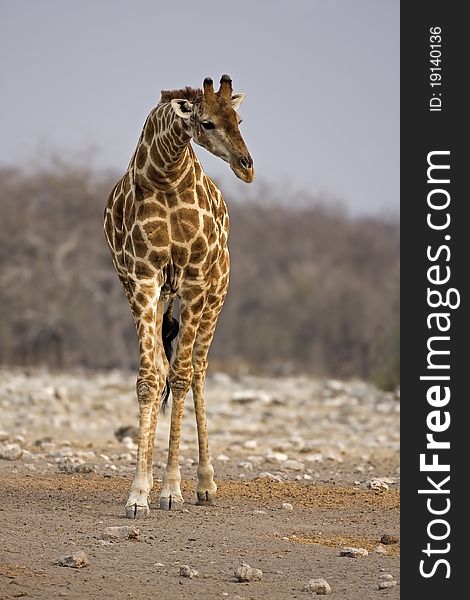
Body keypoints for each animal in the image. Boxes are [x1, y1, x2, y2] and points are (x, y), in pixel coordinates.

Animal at [105, 74, 255, 516]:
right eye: (206, 122)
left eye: (238, 119)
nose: (247, 166)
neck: (165, 177)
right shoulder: (142, 278)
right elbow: (150, 379)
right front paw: (139, 493)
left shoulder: (192, 279)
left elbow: (183, 376)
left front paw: (172, 490)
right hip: (159, 297)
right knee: (164, 367)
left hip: (215, 293)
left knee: (198, 371)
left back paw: (205, 484)